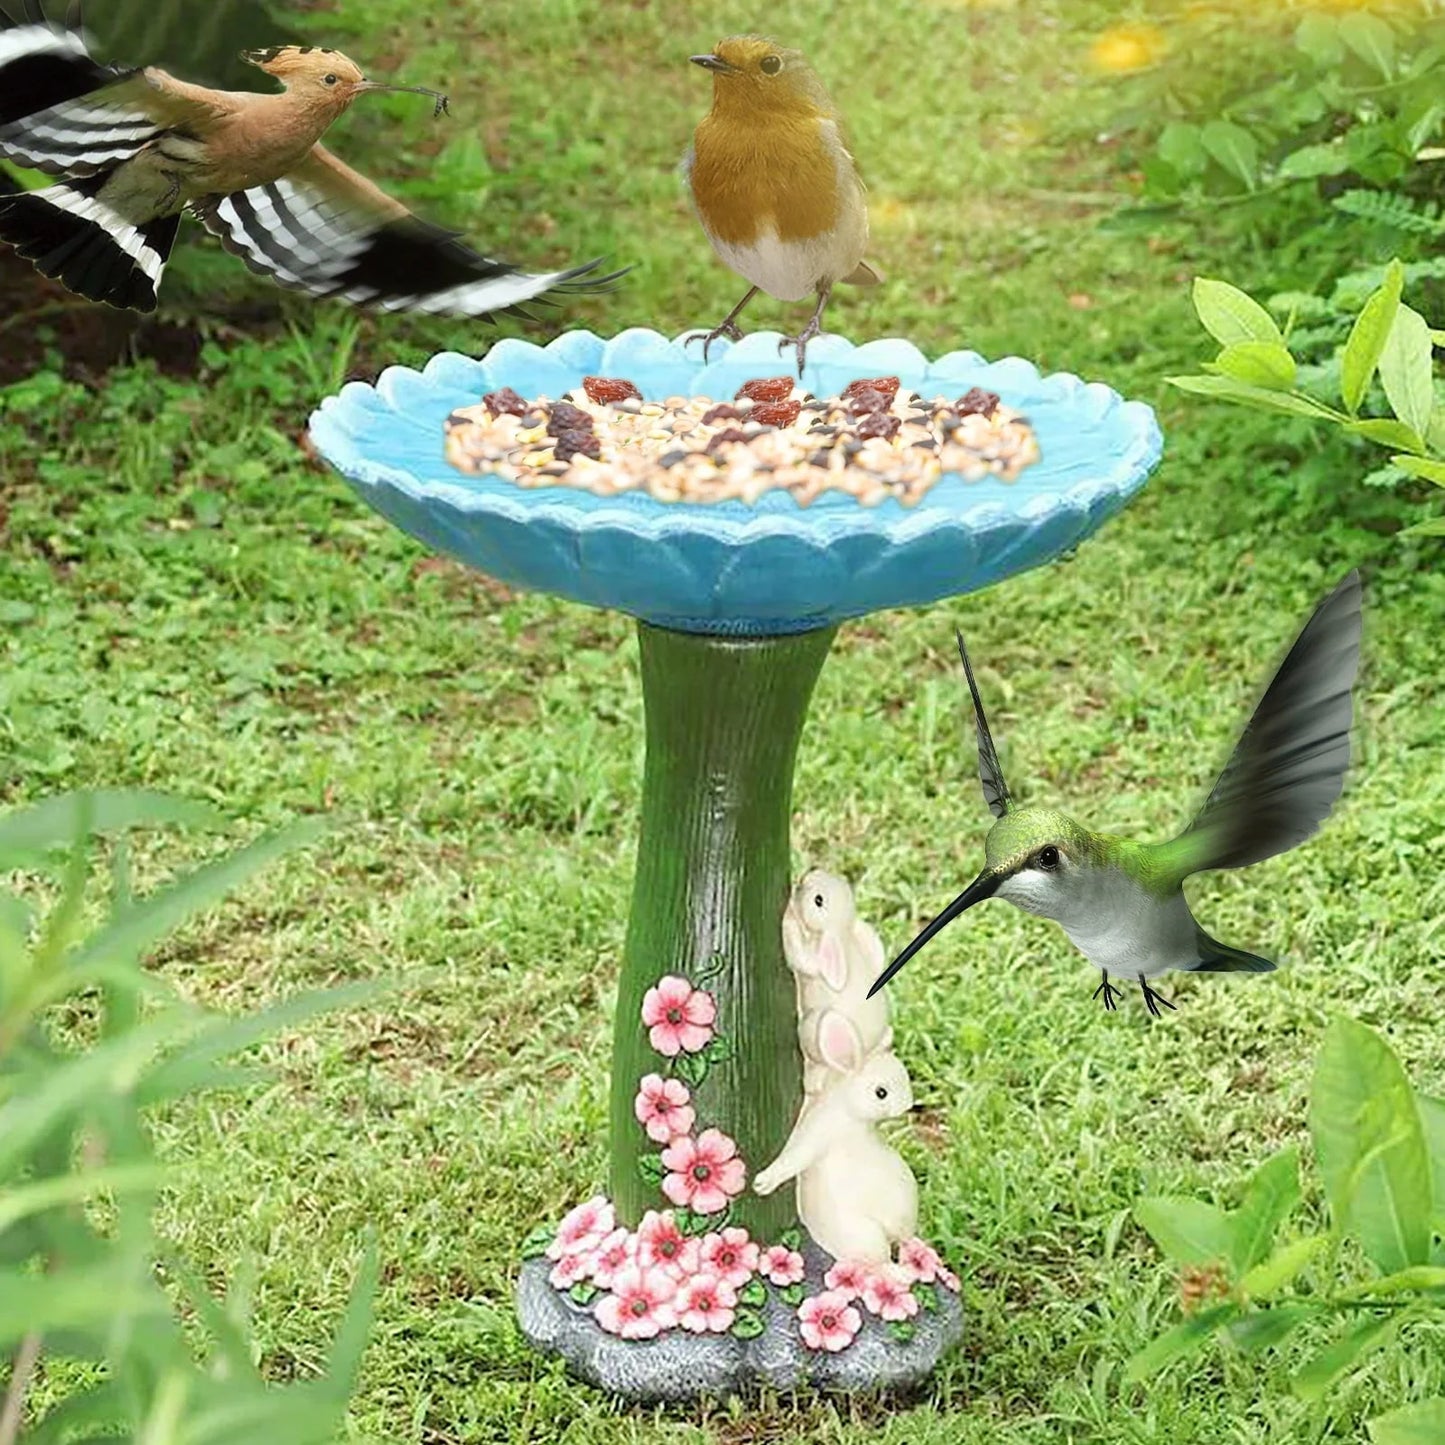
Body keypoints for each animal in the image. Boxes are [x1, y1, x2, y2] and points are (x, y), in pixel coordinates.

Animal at [753, 1009, 918, 1264]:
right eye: (881, 1093)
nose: (908, 1105)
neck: (848, 1115)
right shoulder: (817, 1131)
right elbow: (796, 1157)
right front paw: (763, 1183)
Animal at [782, 869, 892, 1093]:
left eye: (819, 900)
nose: (806, 876)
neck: (840, 934)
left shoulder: (812, 957)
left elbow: (800, 957)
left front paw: (789, 916)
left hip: (813, 1028)